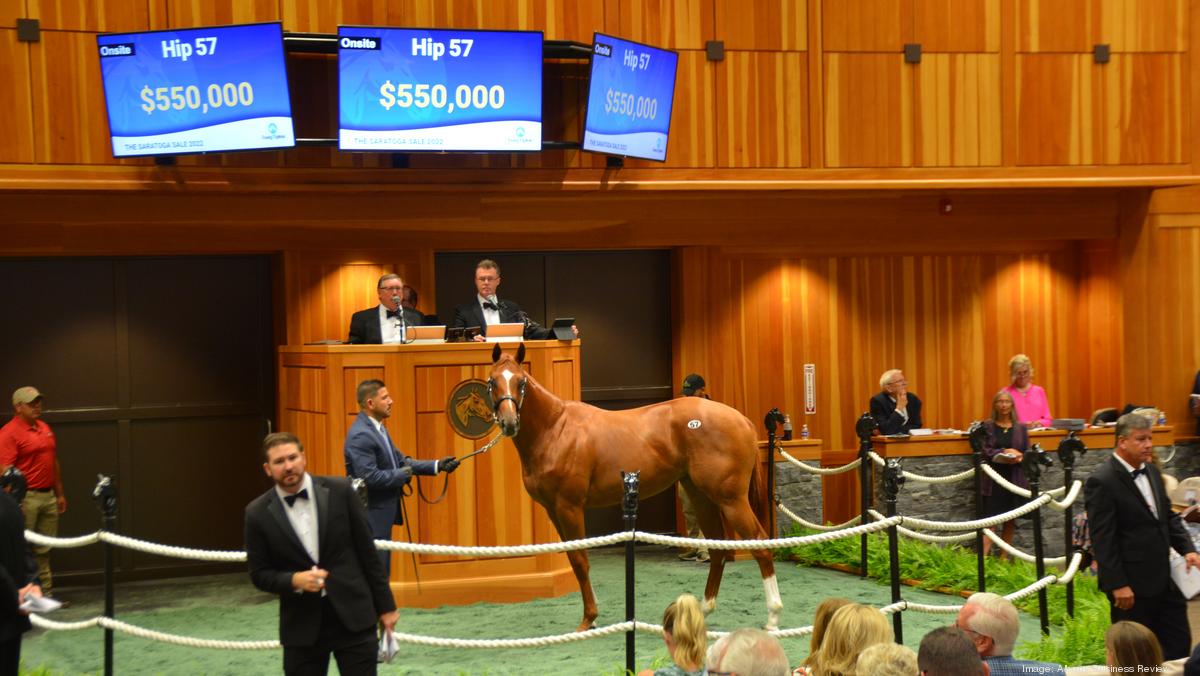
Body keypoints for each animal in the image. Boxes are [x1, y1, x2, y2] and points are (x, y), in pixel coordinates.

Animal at [484, 345, 777, 633]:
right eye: (492, 381)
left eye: (521, 381)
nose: (509, 422)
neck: (556, 429)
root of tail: (743, 421)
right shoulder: (553, 510)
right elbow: (573, 557)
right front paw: (592, 616)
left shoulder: (570, 507)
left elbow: (580, 559)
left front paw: (589, 618)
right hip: (701, 496)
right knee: (718, 549)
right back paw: (702, 612)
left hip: (731, 500)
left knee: (760, 544)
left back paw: (773, 618)